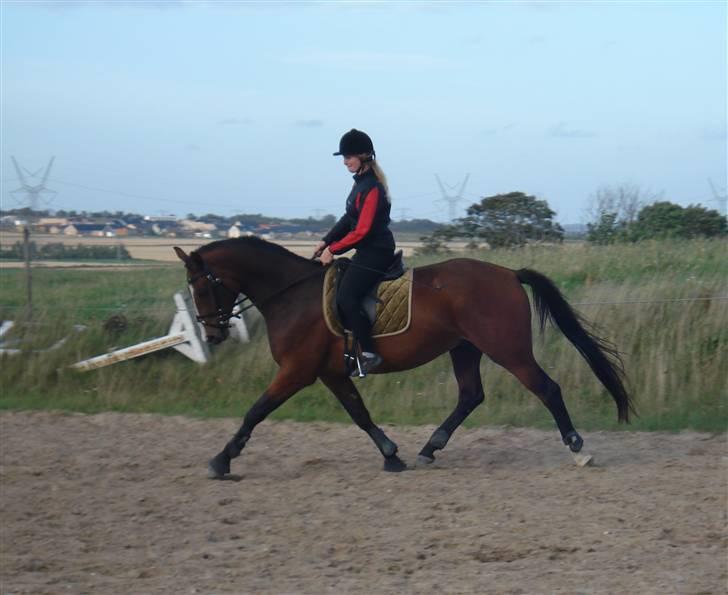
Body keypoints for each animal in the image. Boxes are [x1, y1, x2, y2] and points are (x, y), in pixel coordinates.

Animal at [175, 237, 632, 480]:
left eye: (204, 286)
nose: (213, 334)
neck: (292, 295)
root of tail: (508, 273)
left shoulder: (296, 371)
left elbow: (256, 411)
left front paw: (221, 460)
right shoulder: (330, 374)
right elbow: (359, 414)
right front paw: (391, 454)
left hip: (508, 350)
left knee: (547, 389)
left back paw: (578, 449)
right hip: (464, 348)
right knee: (471, 395)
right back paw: (430, 448)